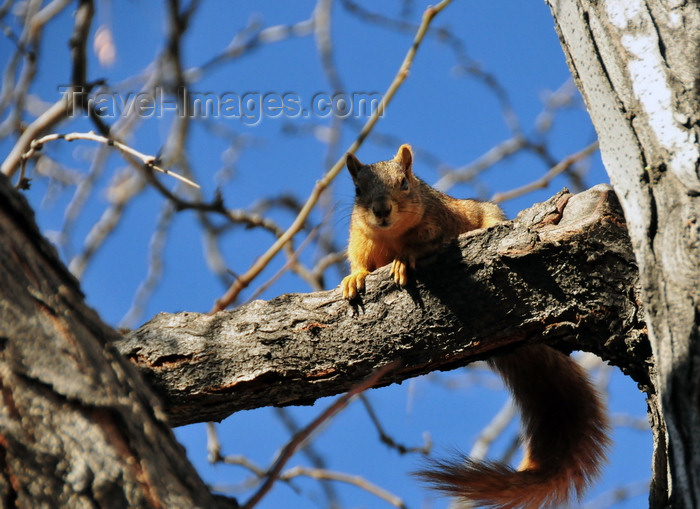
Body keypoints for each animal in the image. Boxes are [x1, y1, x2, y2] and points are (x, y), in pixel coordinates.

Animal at [338, 144, 608, 508]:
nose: (381, 210)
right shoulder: (360, 240)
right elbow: (359, 262)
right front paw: (354, 277)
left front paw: (404, 259)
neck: (390, 234)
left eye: (404, 183)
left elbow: (421, 246)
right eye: (357, 190)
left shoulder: (438, 224)